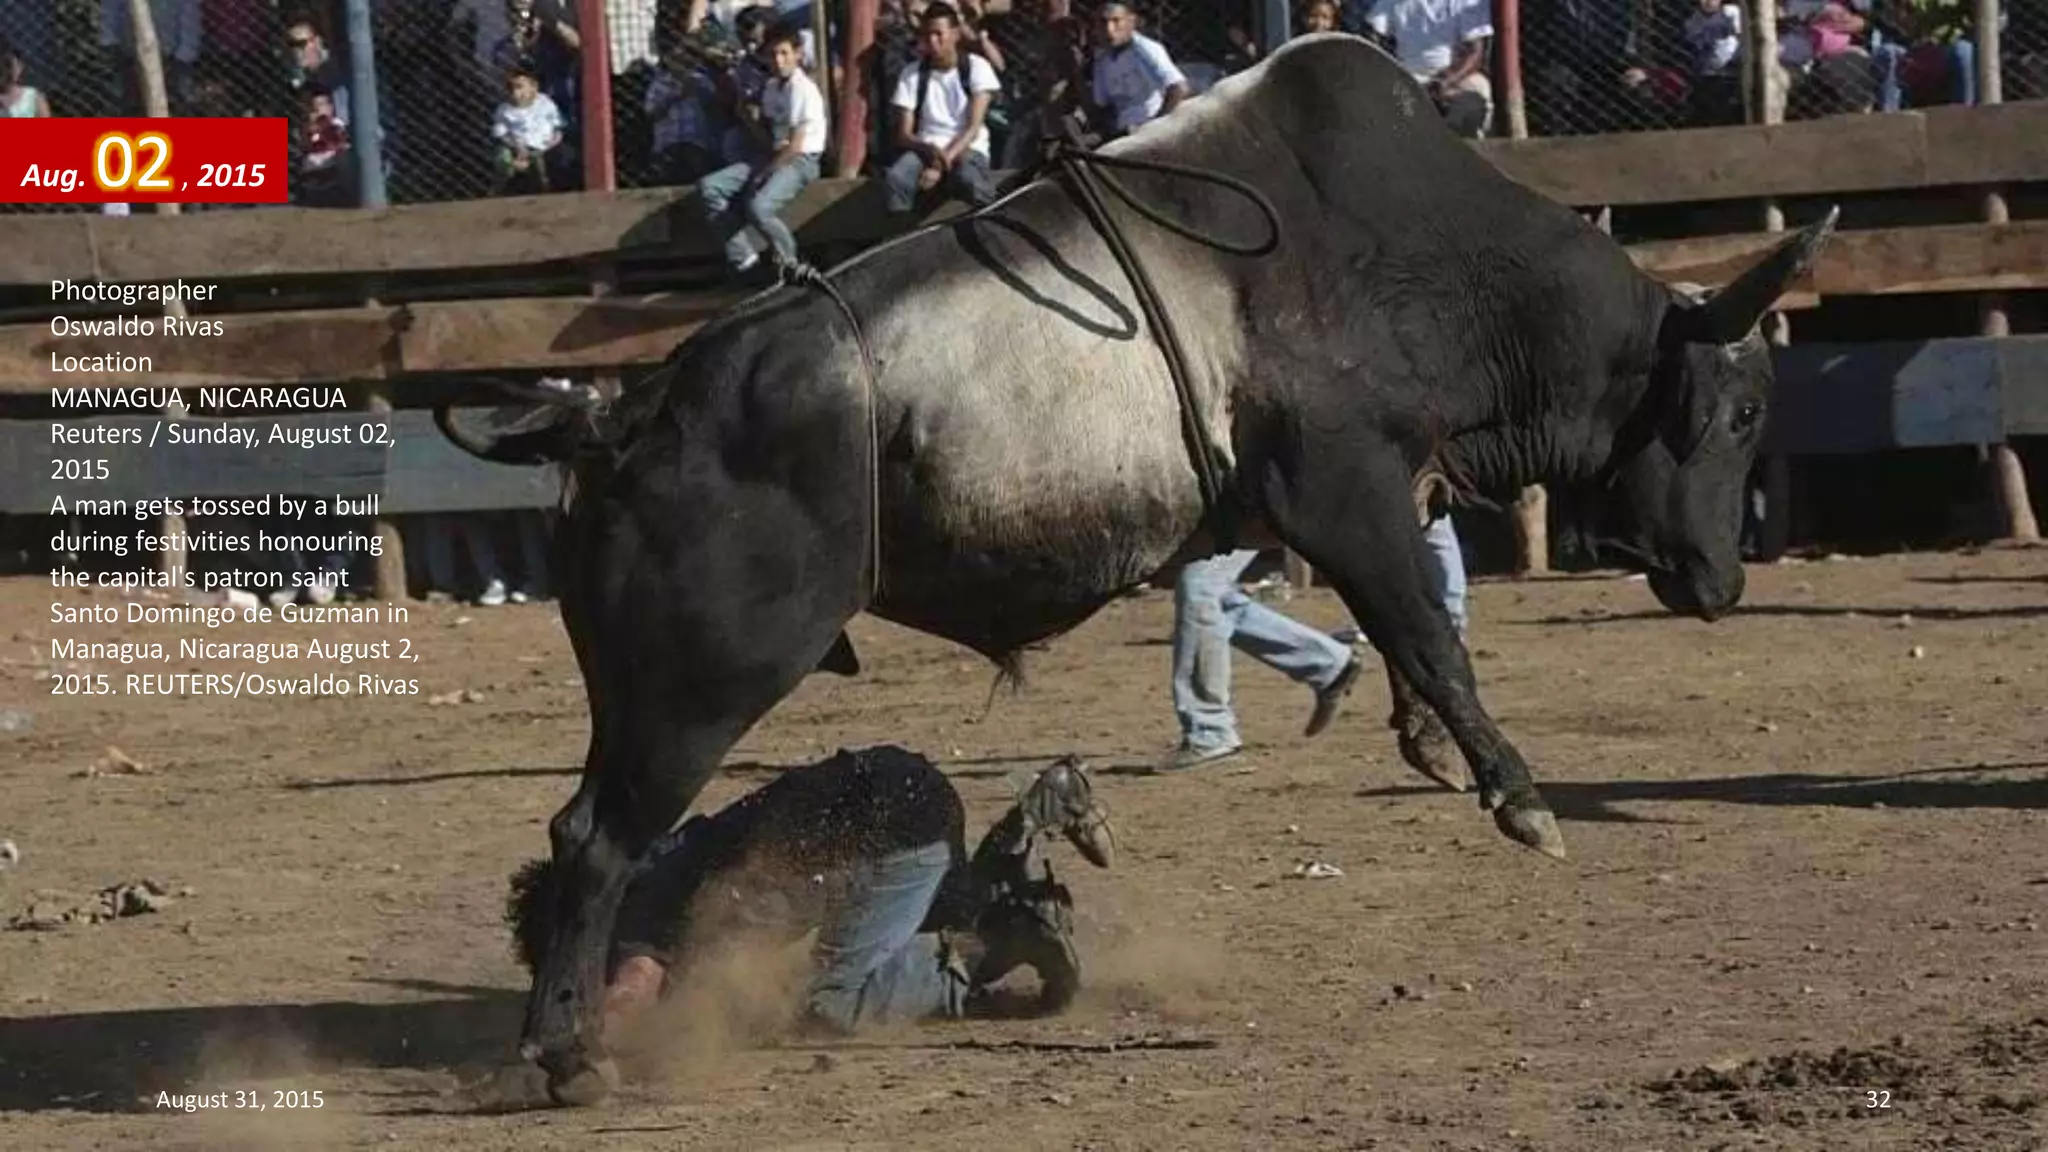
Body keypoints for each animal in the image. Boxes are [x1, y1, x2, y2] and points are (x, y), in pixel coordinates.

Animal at [437, 32, 1835, 1104]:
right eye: (1735, 411)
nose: (1720, 581)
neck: (1417, 255)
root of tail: (626, 414)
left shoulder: (1363, 503)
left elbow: (1413, 629)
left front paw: (1427, 744)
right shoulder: (1342, 490)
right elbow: (1427, 631)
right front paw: (1516, 794)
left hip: (637, 691)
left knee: (586, 834)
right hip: (695, 688)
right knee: (596, 844)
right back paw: (566, 1056)